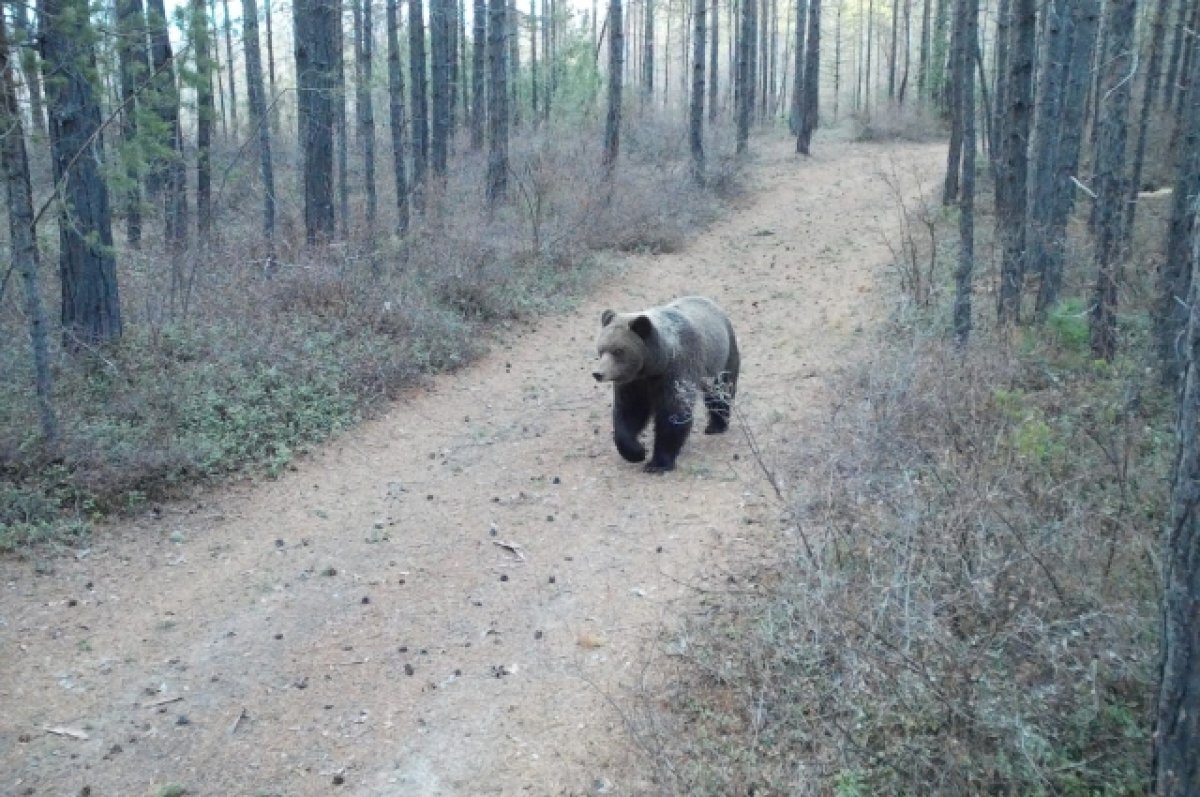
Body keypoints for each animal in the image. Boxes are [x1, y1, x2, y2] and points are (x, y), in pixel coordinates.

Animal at [592, 297, 739, 472]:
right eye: (601, 349)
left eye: (618, 351)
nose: (598, 373)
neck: (655, 365)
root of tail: (710, 302)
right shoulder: (634, 383)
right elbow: (630, 412)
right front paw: (636, 451)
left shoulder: (677, 369)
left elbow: (674, 413)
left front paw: (657, 463)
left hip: (723, 357)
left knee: (720, 392)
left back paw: (717, 425)